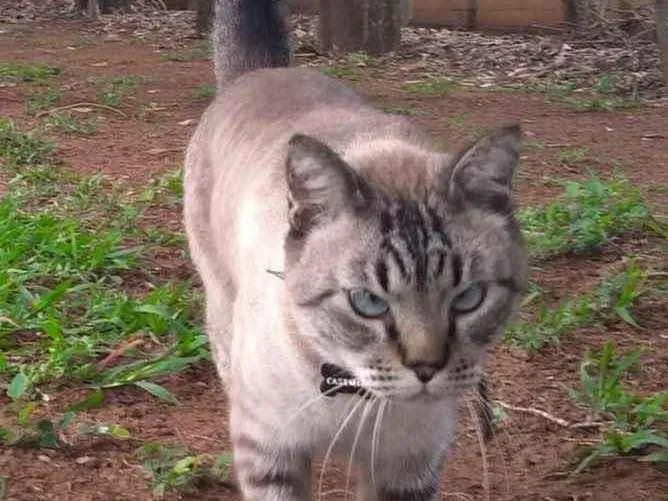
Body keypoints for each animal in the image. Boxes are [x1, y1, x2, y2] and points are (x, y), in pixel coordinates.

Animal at [183, 1, 527, 499]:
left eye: (468, 298)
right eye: (367, 302)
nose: (427, 368)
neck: (354, 394)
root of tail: (261, 72)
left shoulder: (407, 470)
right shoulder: (270, 455)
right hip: (222, 317)